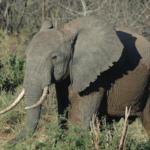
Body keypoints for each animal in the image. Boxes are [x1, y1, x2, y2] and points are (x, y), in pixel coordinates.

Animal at [0, 14, 150, 144]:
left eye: (54, 57)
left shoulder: (97, 76)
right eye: (26, 55)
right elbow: (63, 109)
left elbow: (79, 117)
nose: (9, 143)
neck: (67, 30)